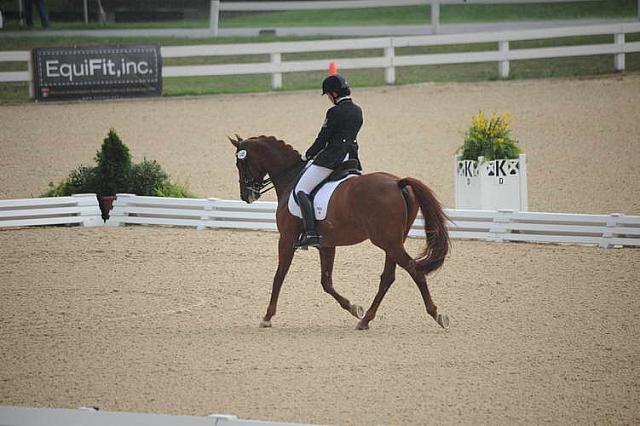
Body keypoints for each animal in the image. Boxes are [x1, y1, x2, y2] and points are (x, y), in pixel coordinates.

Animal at [230, 134, 450, 330]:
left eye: (241, 164)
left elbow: (279, 277)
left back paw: (437, 315)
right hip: (393, 242)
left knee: (414, 270)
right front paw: (354, 308)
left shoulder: (286, 239)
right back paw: (365, 320)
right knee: (389, 277)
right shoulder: (326, 244)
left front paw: (267, 317)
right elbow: (326, 282)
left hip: (388, 242)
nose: (246, 196)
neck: (291, 177)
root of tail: (398, 183)